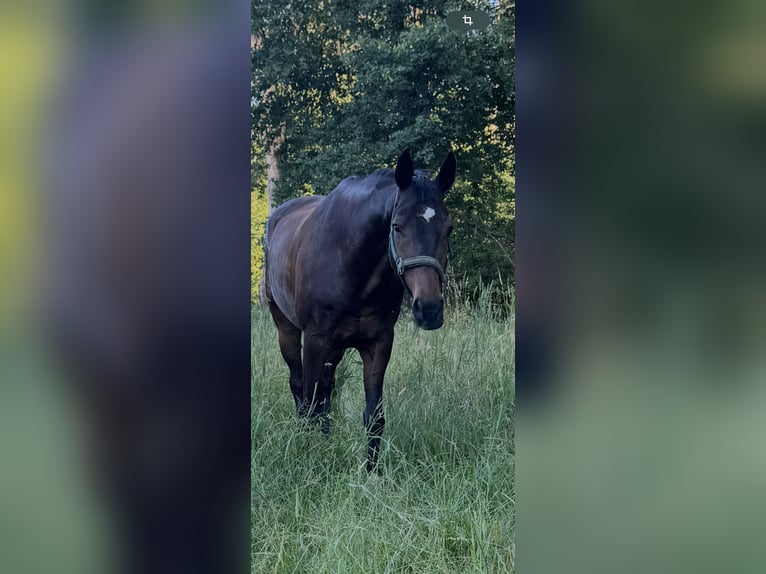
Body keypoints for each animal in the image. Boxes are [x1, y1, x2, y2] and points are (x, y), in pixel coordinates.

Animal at [262, 149, 456, 470]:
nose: (428, 310)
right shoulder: (315, 341)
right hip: (286, 330)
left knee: (326, 390)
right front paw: (311, 458)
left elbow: (373, 416)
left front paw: (372, 470)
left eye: (448, 228)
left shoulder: (378, 344)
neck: (351, 266)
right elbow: (311, 401)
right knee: (300, 387)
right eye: (397, 226)